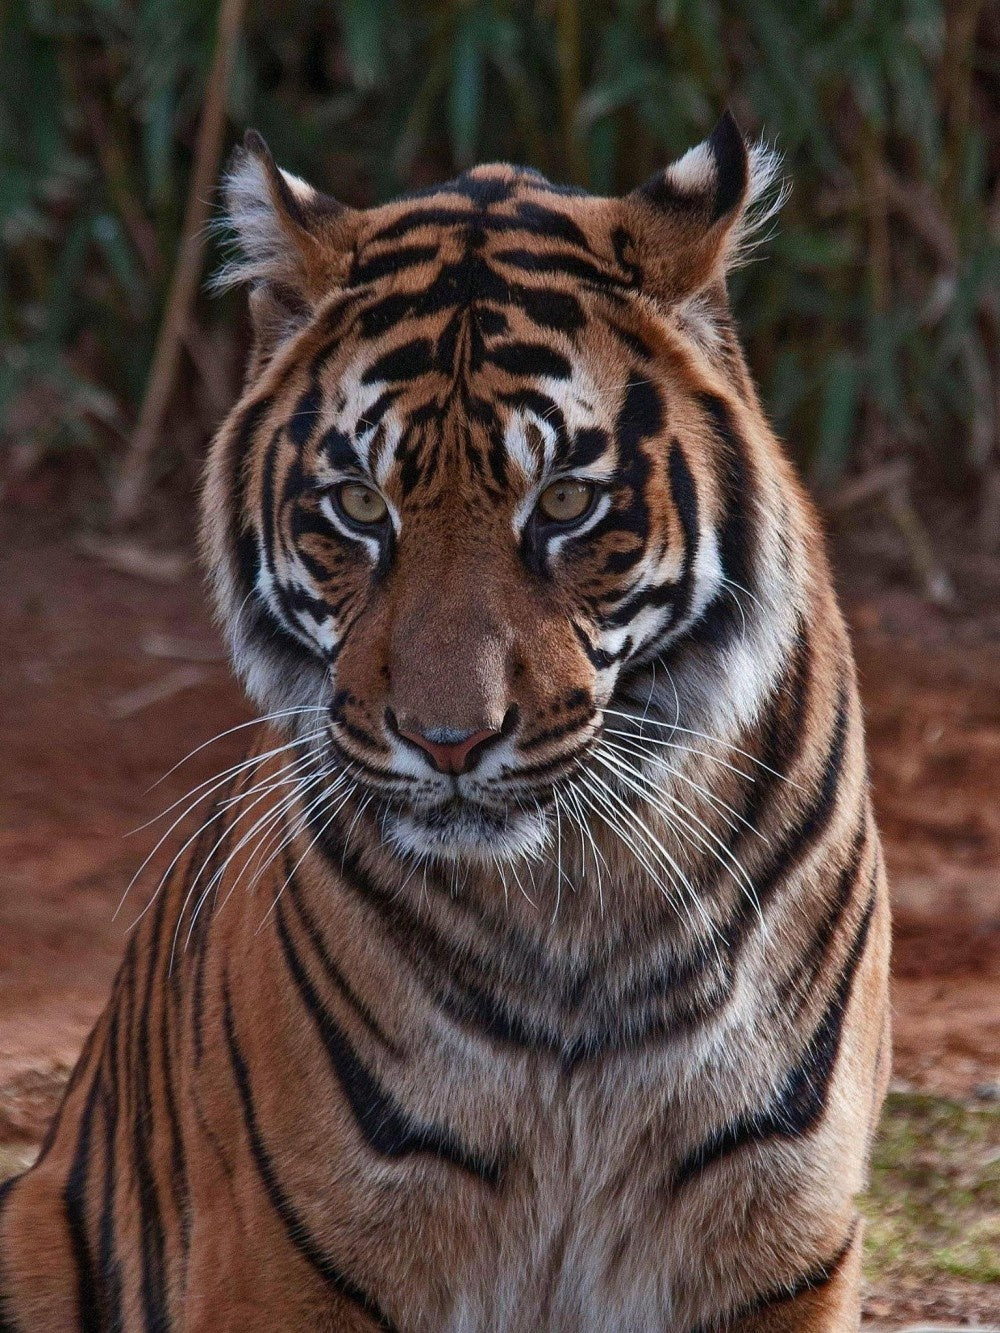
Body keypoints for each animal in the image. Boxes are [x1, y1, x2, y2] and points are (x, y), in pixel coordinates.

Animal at [0, 112, 890, 1331]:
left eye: (565, 502)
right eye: (358, 507)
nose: (449, 741)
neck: (574, 905)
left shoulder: (778, 1240)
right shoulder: (291, 1257)